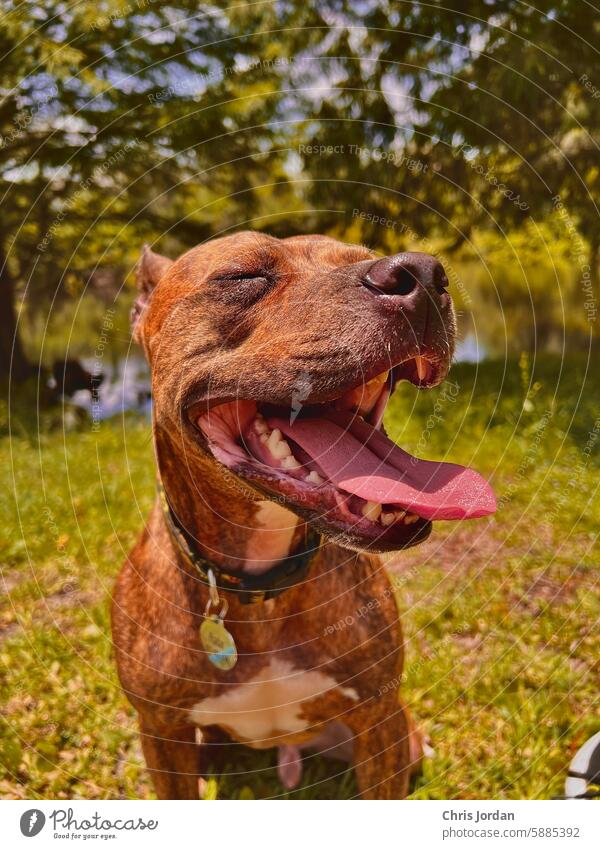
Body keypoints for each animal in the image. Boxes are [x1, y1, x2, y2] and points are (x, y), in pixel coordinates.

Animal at [111, 230, 492, 796]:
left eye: (361, 257)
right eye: (243, 275)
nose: (423, 274)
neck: (258, 585)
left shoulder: (378, 717)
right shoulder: (161, 732)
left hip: (401, 733)